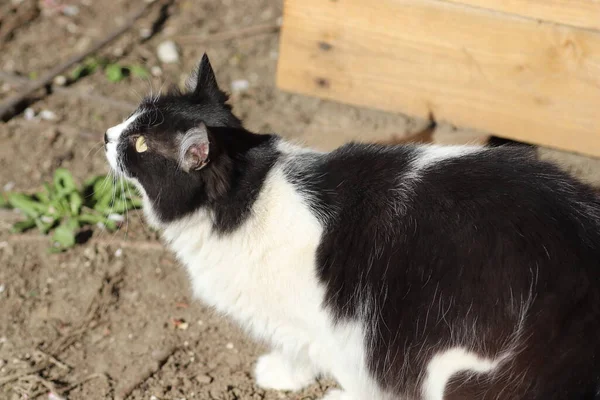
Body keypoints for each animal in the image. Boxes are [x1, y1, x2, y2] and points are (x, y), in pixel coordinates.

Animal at [104, 54, 600, 400]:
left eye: (140, 143)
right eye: (133, 116)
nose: (107, 135)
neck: (246, 198)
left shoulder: (332, 329)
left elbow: (313, 357)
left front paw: (290, 377)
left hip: (454, 364)